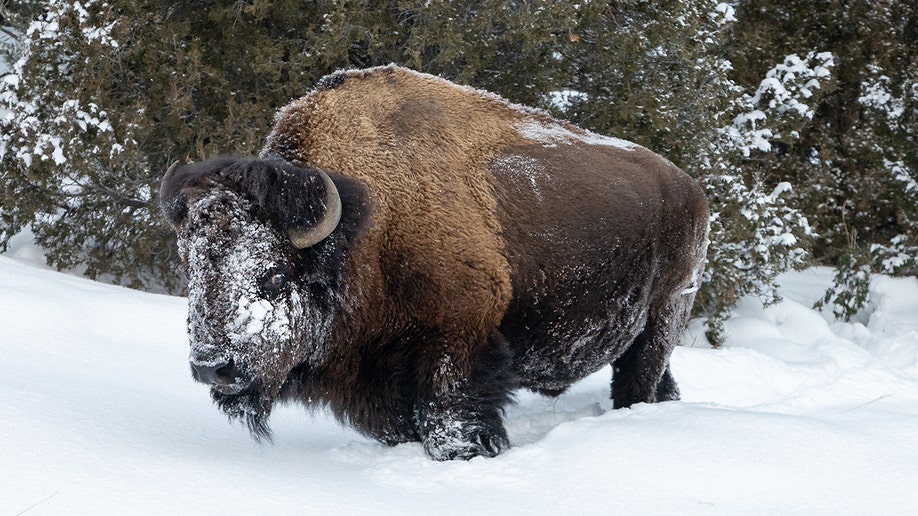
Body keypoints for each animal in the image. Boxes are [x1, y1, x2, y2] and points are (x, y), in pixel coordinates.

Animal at [164, 64, 712, 460]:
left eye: (274, 275)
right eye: (193, 270)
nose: (214, 369)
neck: (370, 224)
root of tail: (691, 189)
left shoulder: (456, 340)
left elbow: (449, 415)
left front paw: (470, 453)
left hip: (666, 314)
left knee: (638, 379)